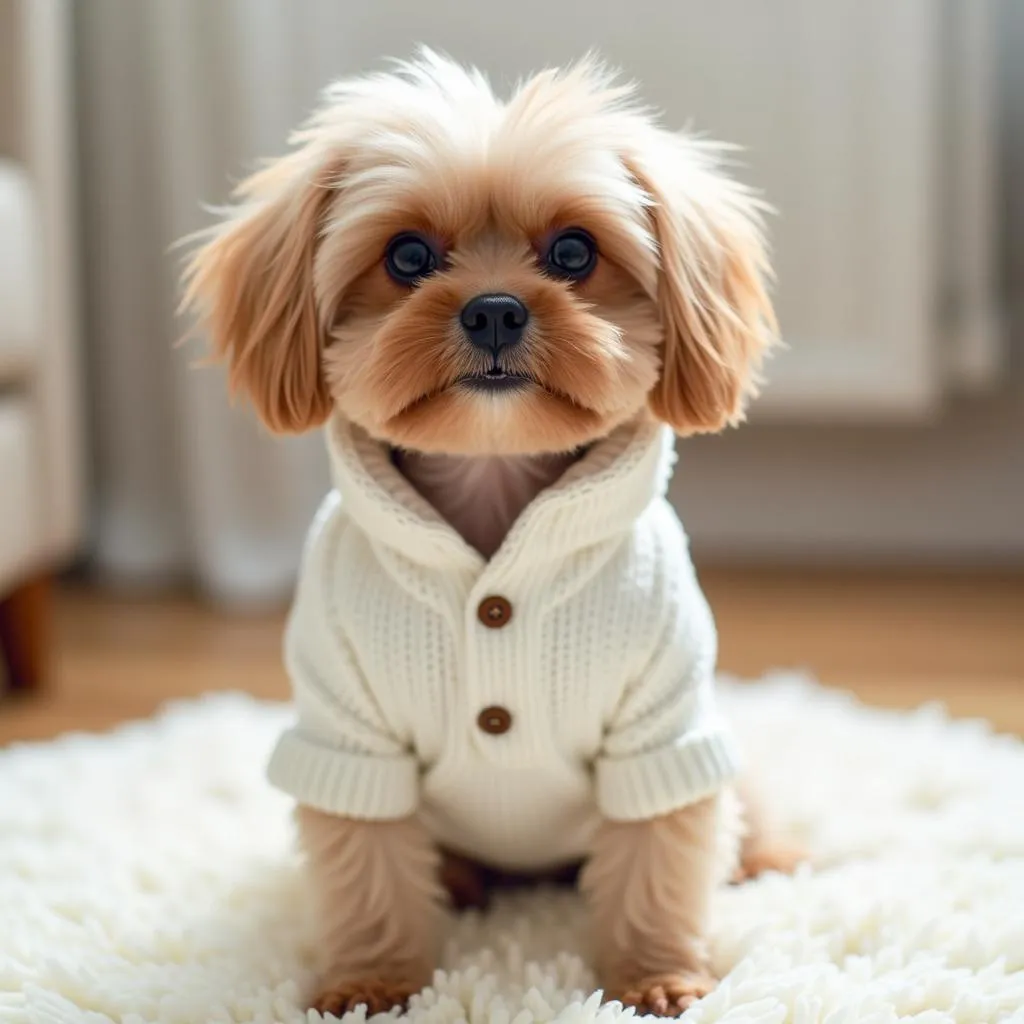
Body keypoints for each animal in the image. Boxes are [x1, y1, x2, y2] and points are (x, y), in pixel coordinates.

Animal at [182, 51, 790, 1019]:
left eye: (575, 252)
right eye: (407, 256)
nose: (496, 309)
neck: (494, 489)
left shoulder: (660, 730)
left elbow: (659, 862)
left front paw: (655, 977)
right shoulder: (348, 734)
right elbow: (368, 870)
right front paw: (371, 983)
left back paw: (768, 859)